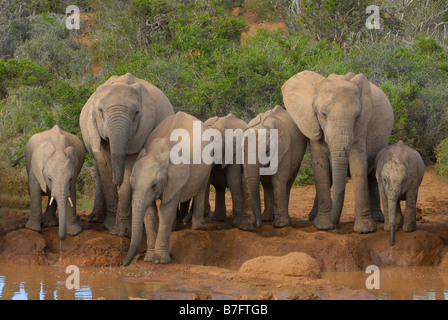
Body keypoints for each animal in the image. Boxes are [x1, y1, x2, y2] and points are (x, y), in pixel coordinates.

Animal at [79, 74, 174, 236]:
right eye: (100, 110)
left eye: (136, 113)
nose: (117, 181)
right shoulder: (95, 130)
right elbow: (104, 168)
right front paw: (109, 226)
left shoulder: (142, 131)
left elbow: (130, 168)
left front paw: (121, 232)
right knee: (98, 172)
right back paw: (95, 219)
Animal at [282, 71, 394, 234]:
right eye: (323, 114)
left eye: (358, 116)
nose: (335, 222)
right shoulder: (314, 125)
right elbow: (320, 166)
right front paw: (323, 226)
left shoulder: (361, 128)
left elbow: (358, 165)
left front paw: (365, 230)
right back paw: (313, 217)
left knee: (372, 175)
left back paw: (378, 218)